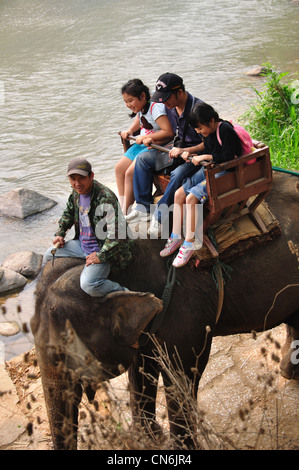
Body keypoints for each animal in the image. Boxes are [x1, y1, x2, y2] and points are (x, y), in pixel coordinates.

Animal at [31, 171, 299, 450]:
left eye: (64, 352)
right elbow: (141, 369)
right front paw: (148, 438)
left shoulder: (185, 313)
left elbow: (181, 374)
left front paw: (177, 447)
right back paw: (288, 372)